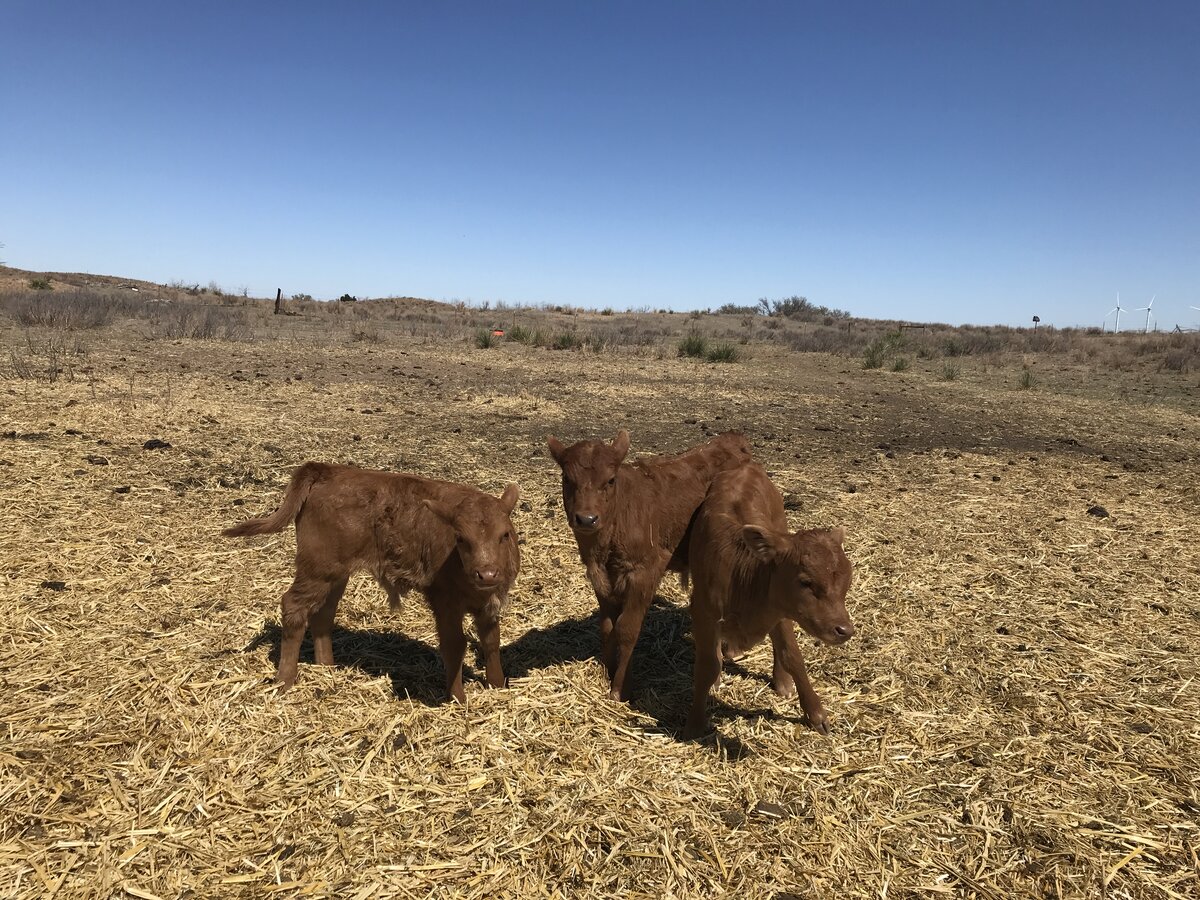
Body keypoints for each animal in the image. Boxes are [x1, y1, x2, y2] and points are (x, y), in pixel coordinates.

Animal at [223, 462, 520, 702]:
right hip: (317, 569)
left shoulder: (490, 605)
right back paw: (285, 680)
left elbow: (491, 641)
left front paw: (497, 685)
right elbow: (454, 646)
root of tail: (327, 469)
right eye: (460, 538)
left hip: (336, 575)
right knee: (294, 607)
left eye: (505, 534)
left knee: (322, 615)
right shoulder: (444, 602)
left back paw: (327, 668)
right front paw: (458, 699)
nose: (487, 574)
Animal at [545, 429, 752, 701]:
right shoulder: (600, 576)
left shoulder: (645, 572)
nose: (587, 519)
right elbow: (607, 627)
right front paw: (607, 671)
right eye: (567, 479)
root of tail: (732, 439)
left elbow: (627, 629)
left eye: (610, 480)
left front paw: (620, 688)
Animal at [683, 462, 854, 738]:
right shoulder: (702, 611)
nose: (844, 630)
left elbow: (792, 656)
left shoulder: (781, 610)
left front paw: (816, 713)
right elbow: (707, 665)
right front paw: (695, 723)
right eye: (805, 582)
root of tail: (746, 468)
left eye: (847, 581)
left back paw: (781, 682)